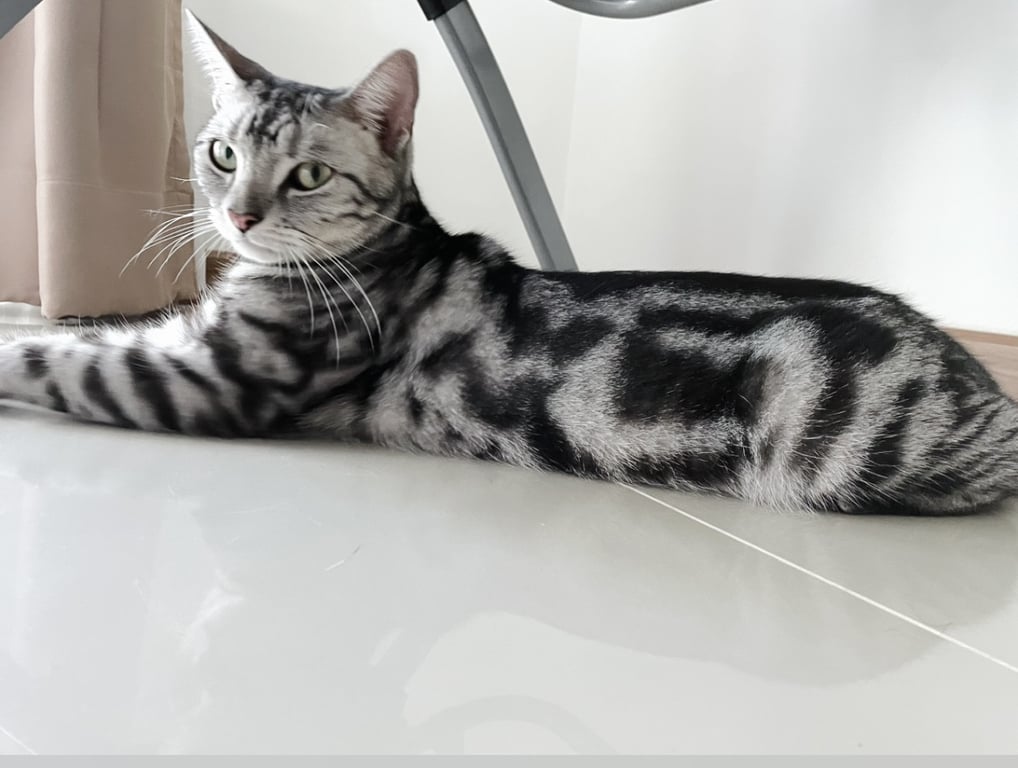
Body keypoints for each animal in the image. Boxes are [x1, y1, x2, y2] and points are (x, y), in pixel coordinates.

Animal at [1, 12, 1016, 516]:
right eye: (220, 155)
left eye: (308, 175)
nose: (239, 215)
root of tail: (978, 380)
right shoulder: (187, 337)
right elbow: (89, 331)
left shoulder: (208, 382)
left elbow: (60, 359)